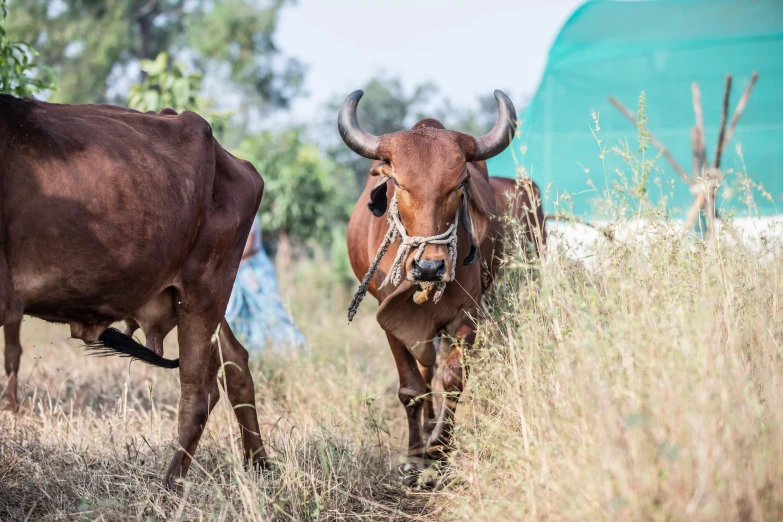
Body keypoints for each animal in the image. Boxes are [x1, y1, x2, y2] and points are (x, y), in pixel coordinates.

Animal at [0, 92, 270, 484]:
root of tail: (237, 163)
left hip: (206, 291)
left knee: (199, 393)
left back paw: (169, 486)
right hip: (195, 299)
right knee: (236, 363)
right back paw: (261, 465)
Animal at [344, 86, 544, 484]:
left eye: (458, 185)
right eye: (398, 183)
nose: (430, 266)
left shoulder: (467, 314)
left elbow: (453, 378)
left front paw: (439, 448)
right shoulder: (390, 318)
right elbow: (411, 387)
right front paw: (414, 457)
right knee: (424, 373)